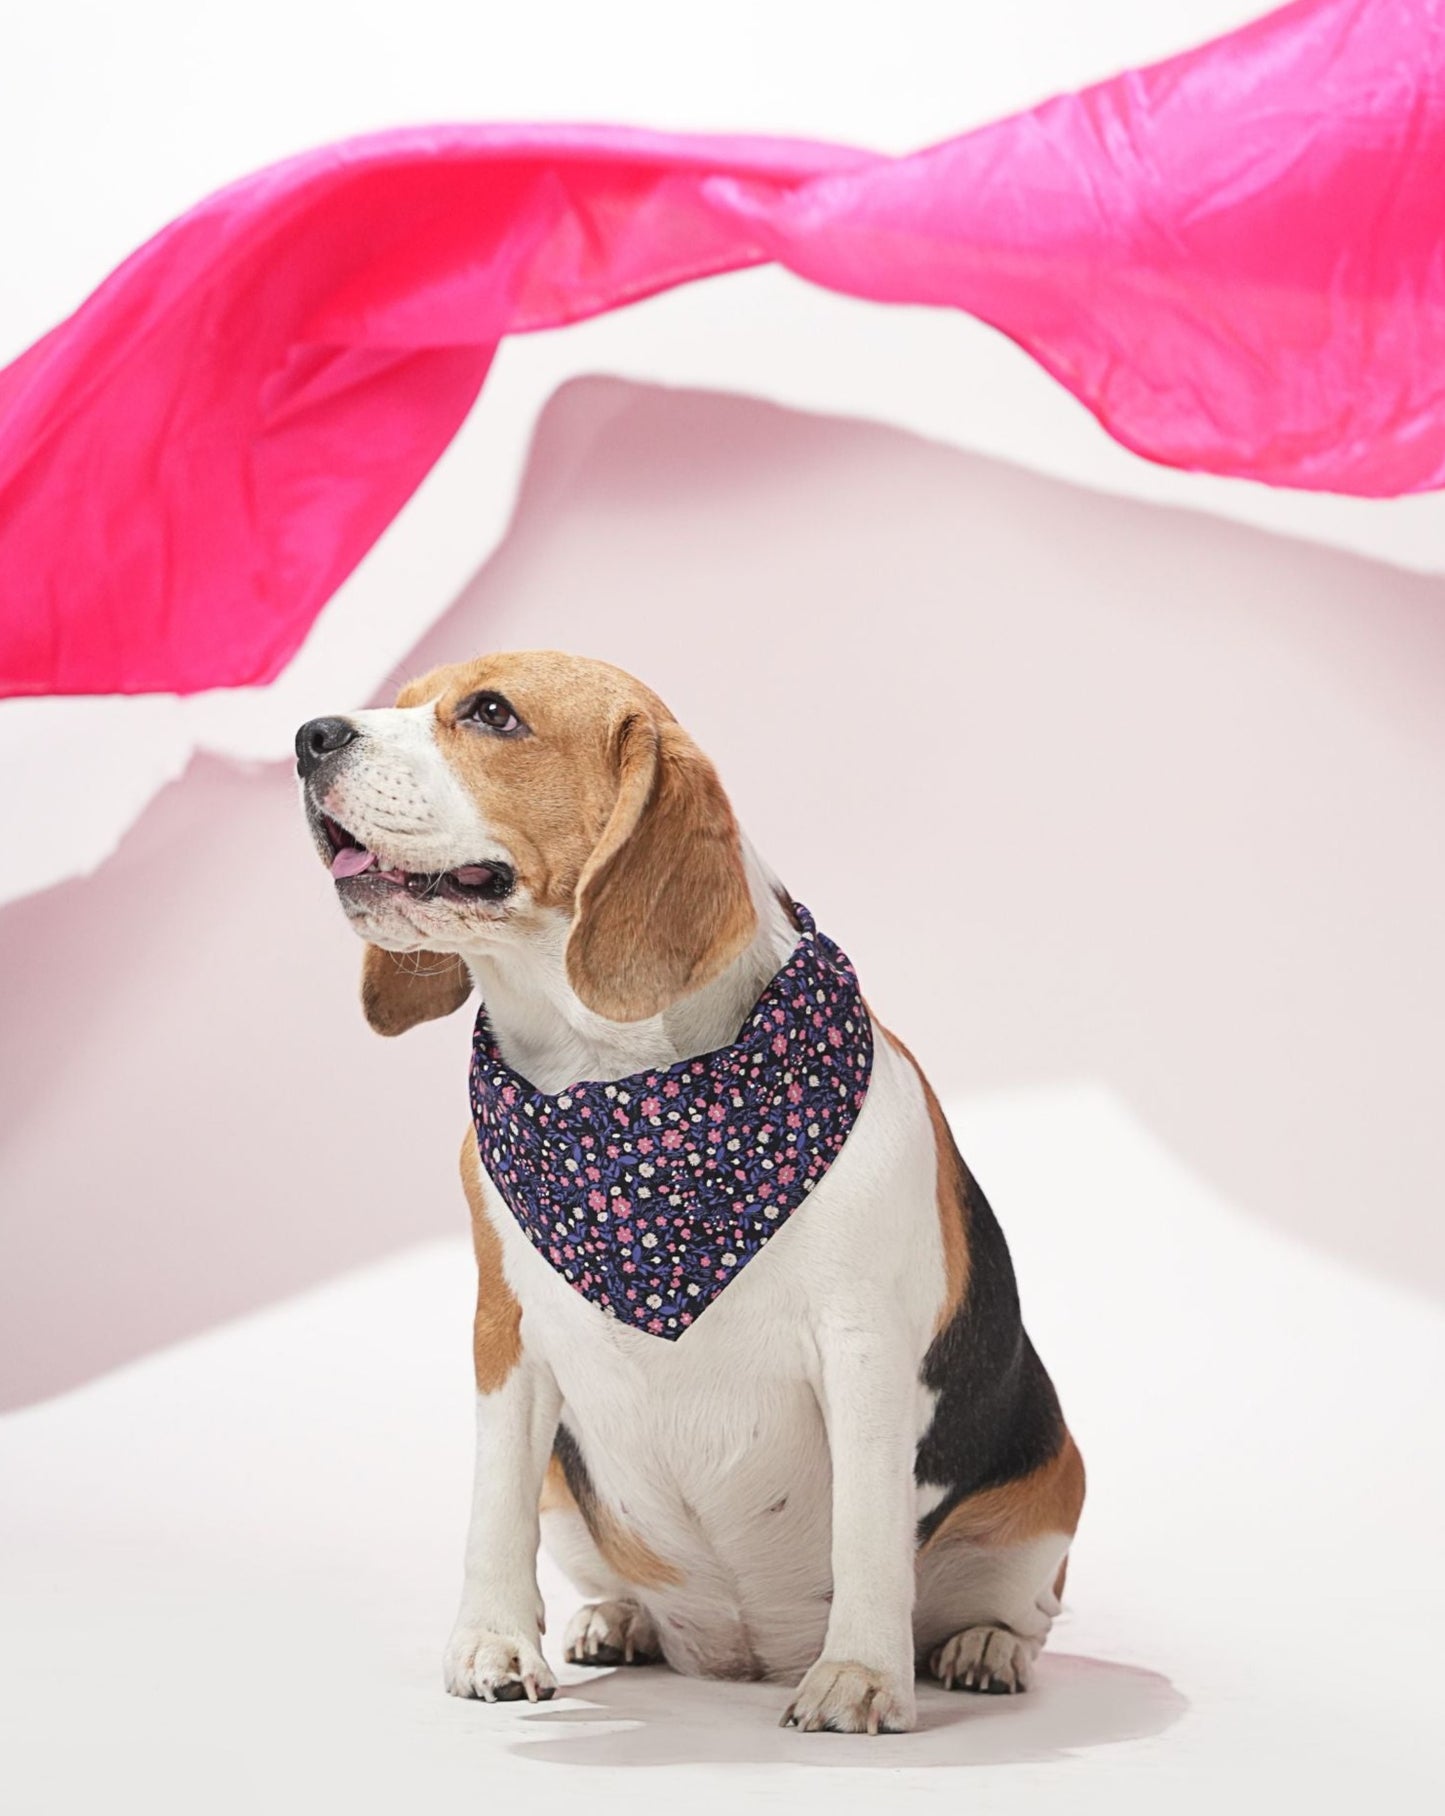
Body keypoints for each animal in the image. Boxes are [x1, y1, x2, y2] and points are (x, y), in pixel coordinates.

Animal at [295, 650, 1081, 1728]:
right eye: (403, 700)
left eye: (491, 714)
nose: (307, 737)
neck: (619, 1091)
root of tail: (746, 1648)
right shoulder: (505, 1336)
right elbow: (492, 1508)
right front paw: (494, 1641)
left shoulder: (864, 1346)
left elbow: (868, 1533)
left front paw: (861, 1674)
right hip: (571, 1493)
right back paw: (619, 1619)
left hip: (1047, 1501)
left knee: (1007, 1607)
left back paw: (978, 1645)